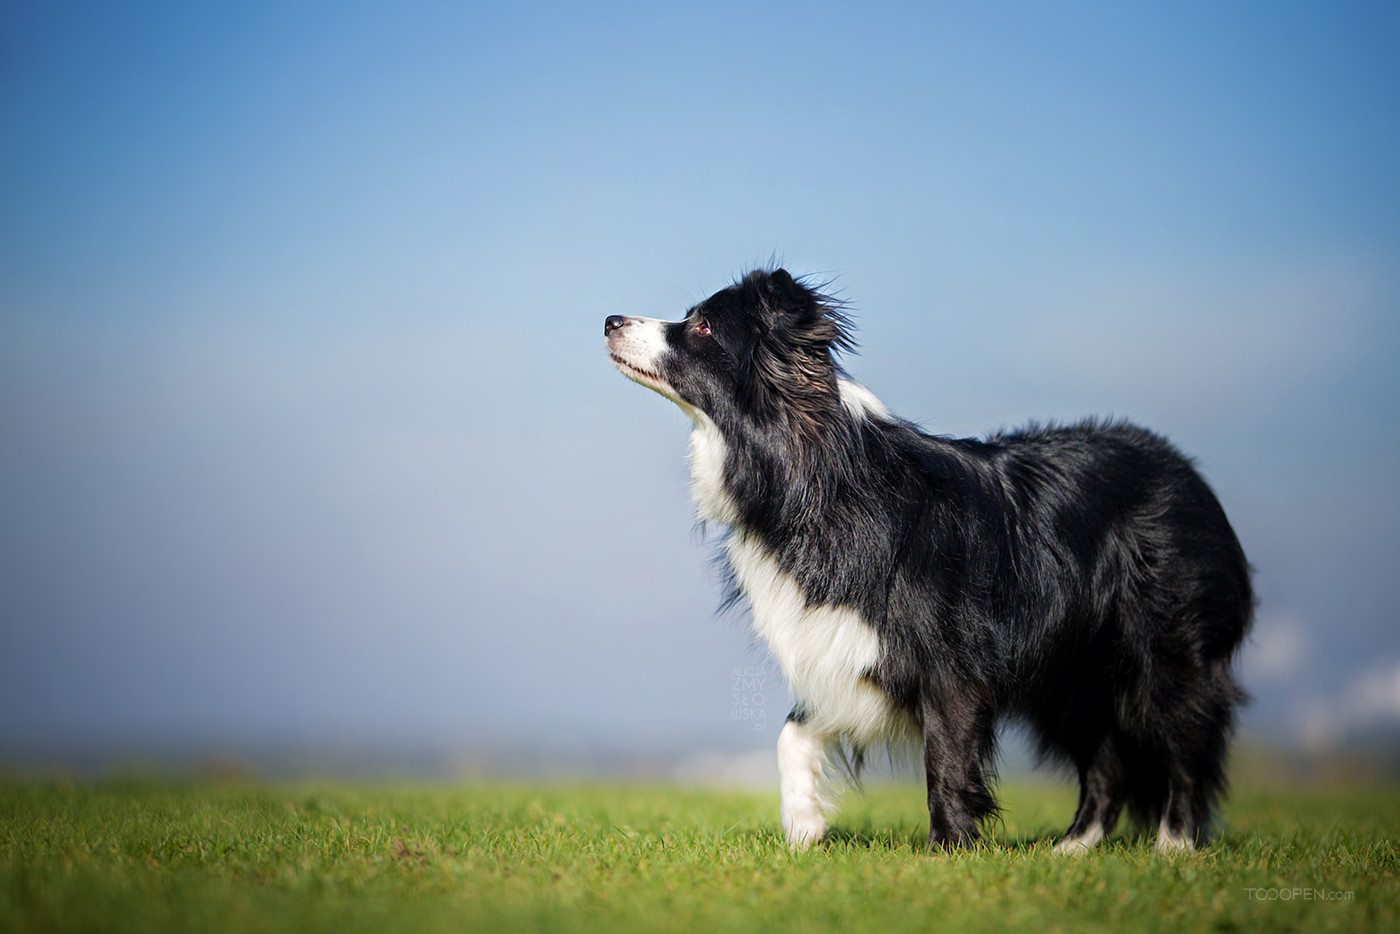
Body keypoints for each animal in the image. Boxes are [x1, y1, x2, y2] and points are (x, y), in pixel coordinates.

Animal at [602, 270, 1248, 856]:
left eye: (704, 327)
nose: (609, 320)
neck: (811, 476)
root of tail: (1189, 475)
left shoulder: (950, 658)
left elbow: (947, 757)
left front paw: (948, 855)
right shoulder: (845, 641)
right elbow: (793, 733)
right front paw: (805, 828)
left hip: (1164, 637)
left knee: (1184, 737)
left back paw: (1174, 847)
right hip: (1071, 673)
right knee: (1105, 758)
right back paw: (1071, 850)